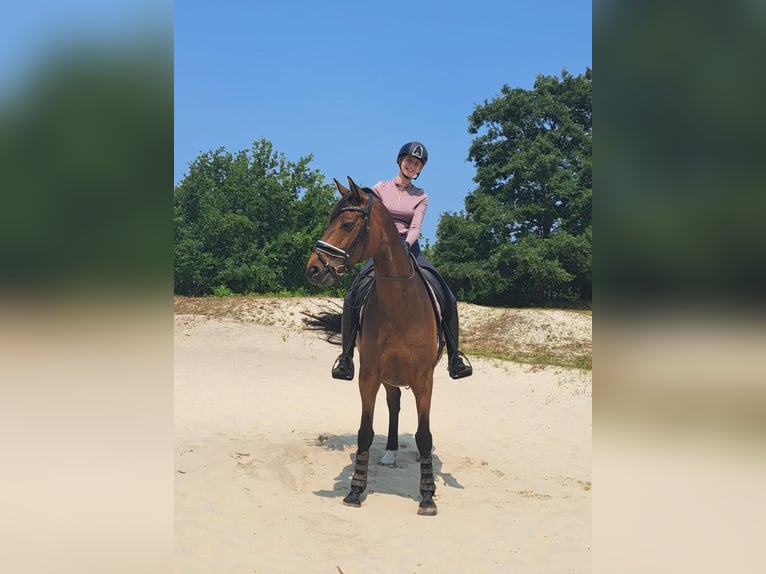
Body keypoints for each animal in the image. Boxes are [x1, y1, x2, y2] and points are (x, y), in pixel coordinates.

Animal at [305, 177, 441, 516]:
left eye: (347, 223)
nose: (313, 269)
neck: (400, 303)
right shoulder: (369, 375)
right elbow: (364, 432)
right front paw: (355, 489)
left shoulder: (424, 379)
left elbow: (423, 435)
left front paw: (427, 496)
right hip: (389, 376)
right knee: (394, 404)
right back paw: (390, 452)